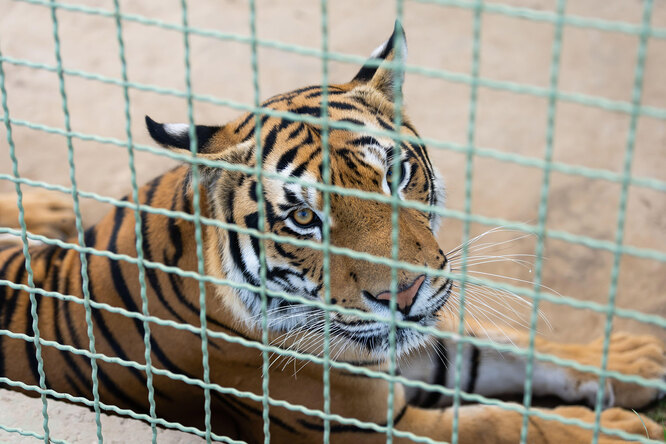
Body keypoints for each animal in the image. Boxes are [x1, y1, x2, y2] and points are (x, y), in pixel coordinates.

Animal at [0, 23, 660, 444]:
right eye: (302, 219)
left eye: (396, 175)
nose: (403, 295)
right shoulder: (360, 430)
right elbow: (501, 423)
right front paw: (624, 431)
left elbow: (505, 345)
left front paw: (635, 357)